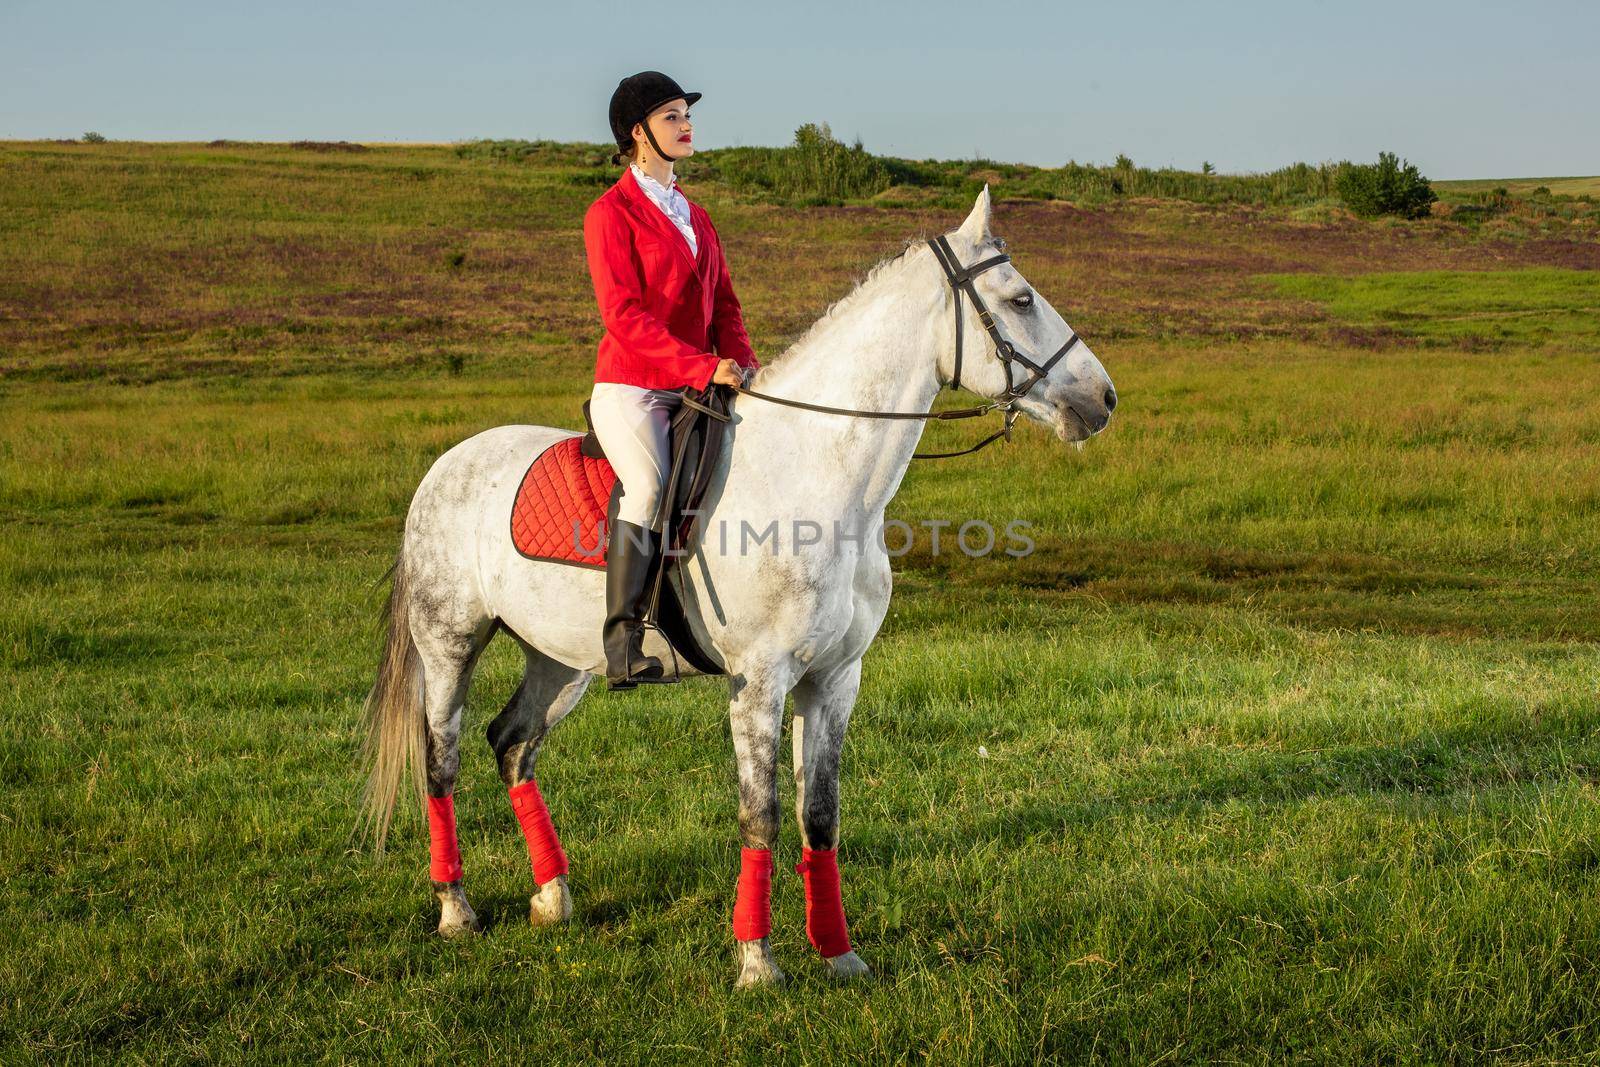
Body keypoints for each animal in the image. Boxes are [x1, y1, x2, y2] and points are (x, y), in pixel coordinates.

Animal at [361, 187, 1113, 991]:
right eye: (1021, 298)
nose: (1103, 398)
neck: (818, 475)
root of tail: (447, 463)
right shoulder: (760, 680)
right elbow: (763, 815)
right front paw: (757, 962)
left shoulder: (835, 679)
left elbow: (821, 815)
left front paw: (837, 952)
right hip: (450, 644)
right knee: (442, 758)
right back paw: (455, 909)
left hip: (561, 660)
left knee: (512, 743)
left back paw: (553, 896)